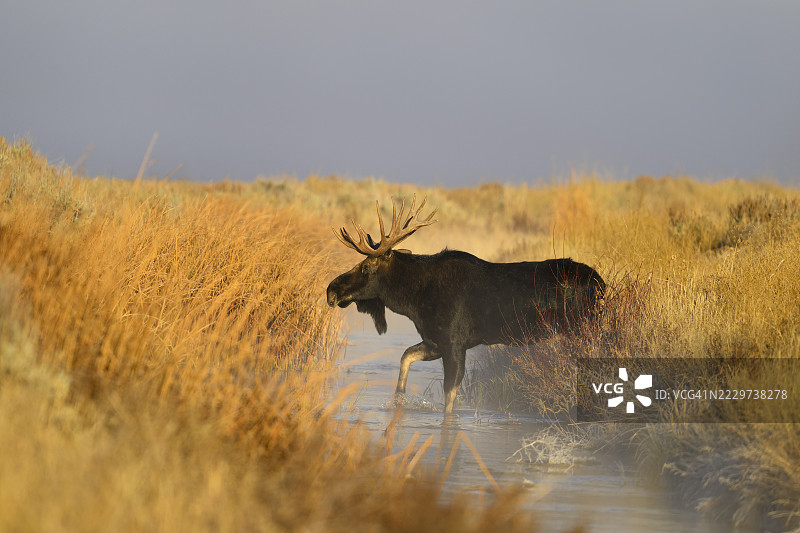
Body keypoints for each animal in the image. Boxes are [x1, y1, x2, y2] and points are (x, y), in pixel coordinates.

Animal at [326, 195, 605, 414]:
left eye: (366, 267)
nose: (331, 290)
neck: (414, 300)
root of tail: (600, 282)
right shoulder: (435, 341)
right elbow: (405, 357)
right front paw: (398, 402)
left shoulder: (454, 343)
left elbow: (450, 401)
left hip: (582, 328)